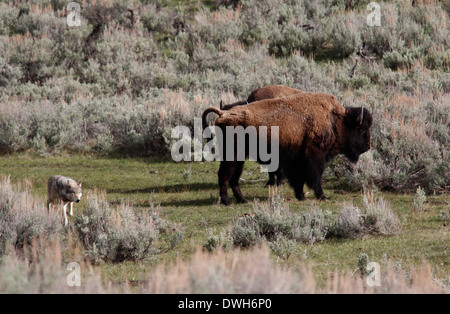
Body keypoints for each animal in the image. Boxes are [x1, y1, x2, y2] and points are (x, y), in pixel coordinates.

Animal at [204, 92, 372, 206]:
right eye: (362, 129)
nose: (368, 146)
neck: (334, 120)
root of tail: (223, 113)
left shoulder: (298, 160)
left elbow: (298, 179)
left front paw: (301, 196)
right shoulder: (315, 157)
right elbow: (315, 178)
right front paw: (322, 196)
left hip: (239, 158)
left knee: (233, 178)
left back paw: (242, 200)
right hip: (232, 157)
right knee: (224, 175)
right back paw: (227, 201)